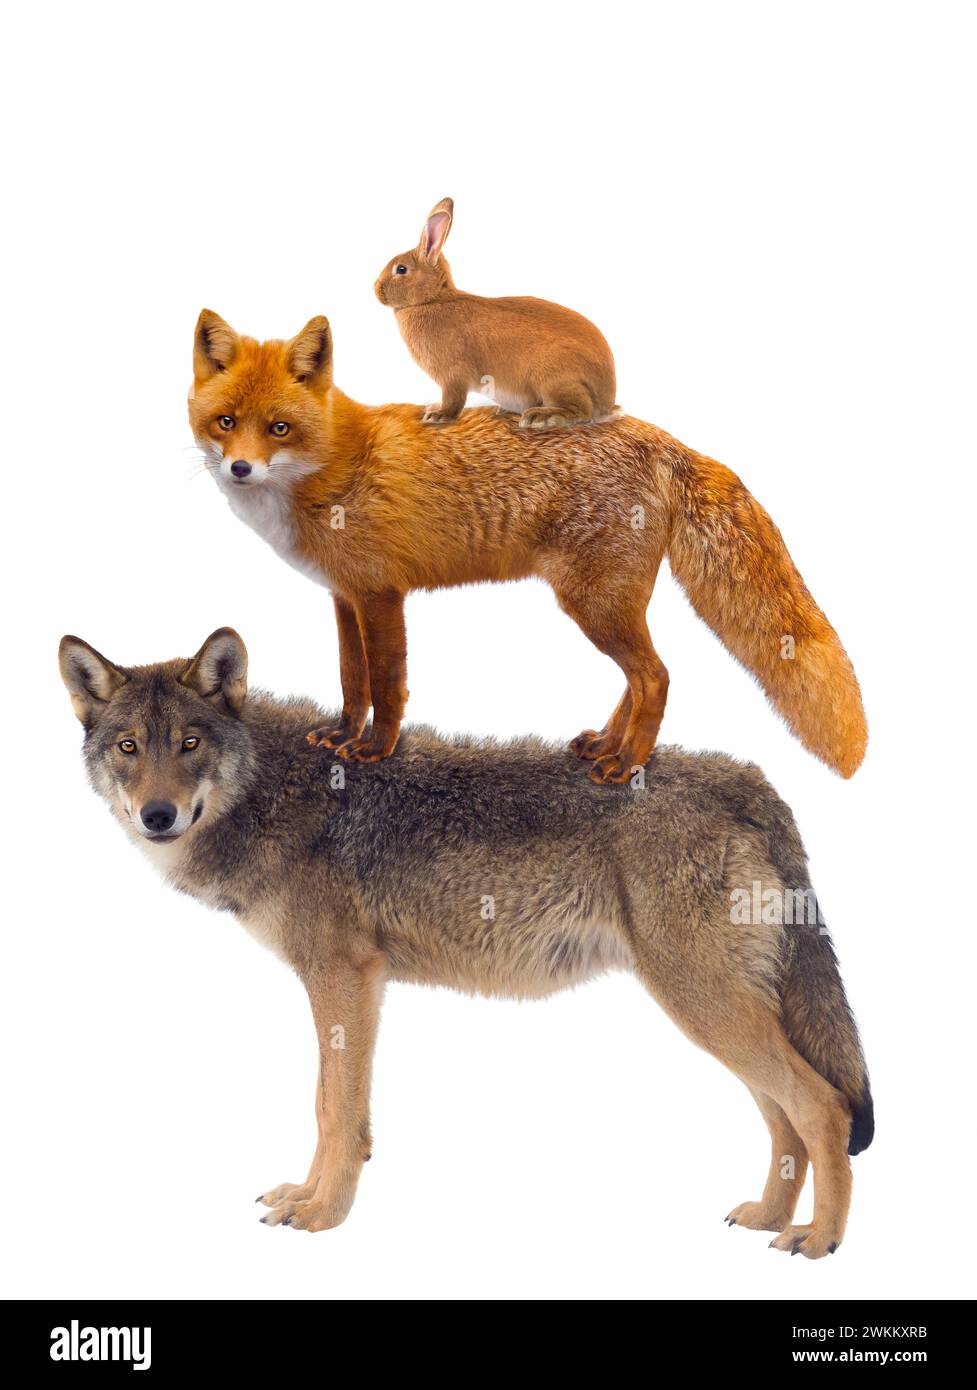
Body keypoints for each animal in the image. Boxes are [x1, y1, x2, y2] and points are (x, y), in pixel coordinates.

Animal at [60, 627, 873, 1256]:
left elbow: (336, 1112)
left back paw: (818, 1240)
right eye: (129, 747)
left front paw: (324, 1216)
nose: (157, 816)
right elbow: (330, 1107)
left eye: (190, 743)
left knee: (825, 1109)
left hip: (704, 1007)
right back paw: (768, 1217)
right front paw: (308, 1198)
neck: (274, 791)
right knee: (787, 1122)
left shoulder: (344, 978)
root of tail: (754, 785)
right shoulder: (345, 985)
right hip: (718, 1014)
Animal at [188, 311, 868, 784]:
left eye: (279, 428)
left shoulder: (381, 594)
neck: (329, 465)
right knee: (641, 678)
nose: (240, 469)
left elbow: (387, 684)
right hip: (609, 605)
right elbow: (352, 680)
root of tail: (662, 437)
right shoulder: (343, 595)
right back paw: (607, 746)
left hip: (593, 603)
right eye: (226, 422)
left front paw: (375, 750)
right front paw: (340, 735)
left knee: (656, 677)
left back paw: (628, 765)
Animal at [374, 197, 617, 429]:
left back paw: (541, 417)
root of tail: (608, 399)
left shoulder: (453, 375)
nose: (376, 290)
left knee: (581, 411)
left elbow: (454, 399)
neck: (432, 300)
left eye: (401, 269)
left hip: (555, 377)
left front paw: (438, 415)